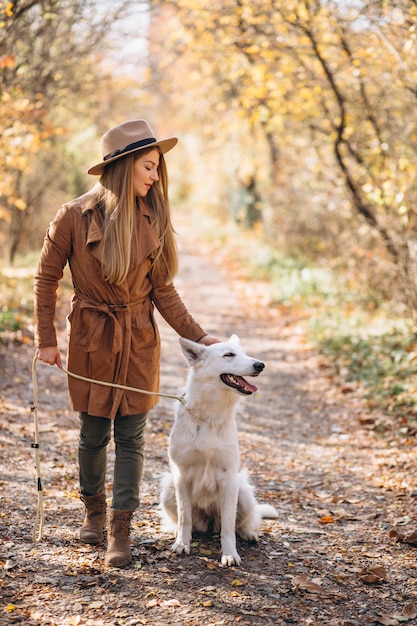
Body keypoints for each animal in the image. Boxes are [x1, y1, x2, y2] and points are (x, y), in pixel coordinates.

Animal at [161, 334, 278, 564]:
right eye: (229, 355)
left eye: (244, 353)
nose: (260, 365)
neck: (210, 415)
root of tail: (209, 523)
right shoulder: (181, 476)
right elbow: (184, 518)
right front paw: (182, 543)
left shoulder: (228, 477)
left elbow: (228, 527)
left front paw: (230, 554)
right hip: (169, 488)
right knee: (184, 521)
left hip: (242, 491)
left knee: (240, 523)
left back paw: (248, 533)